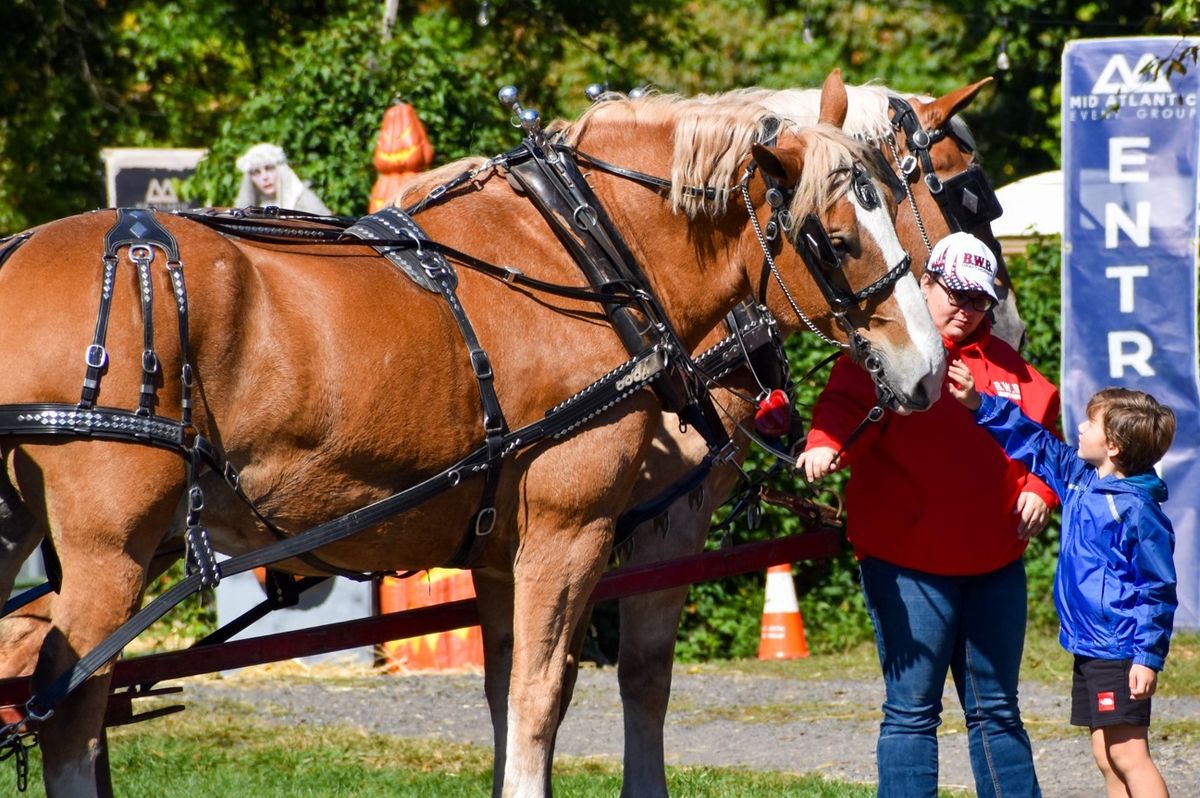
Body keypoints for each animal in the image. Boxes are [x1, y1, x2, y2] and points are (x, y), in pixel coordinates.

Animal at [0, 71, 940, 792]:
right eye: (837, 237)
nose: (930, 369)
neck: (584, 253)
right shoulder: (577, 530)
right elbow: (544, 697)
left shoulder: (497, 550)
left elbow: (503, 694)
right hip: (111, 551)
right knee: (70, 712)